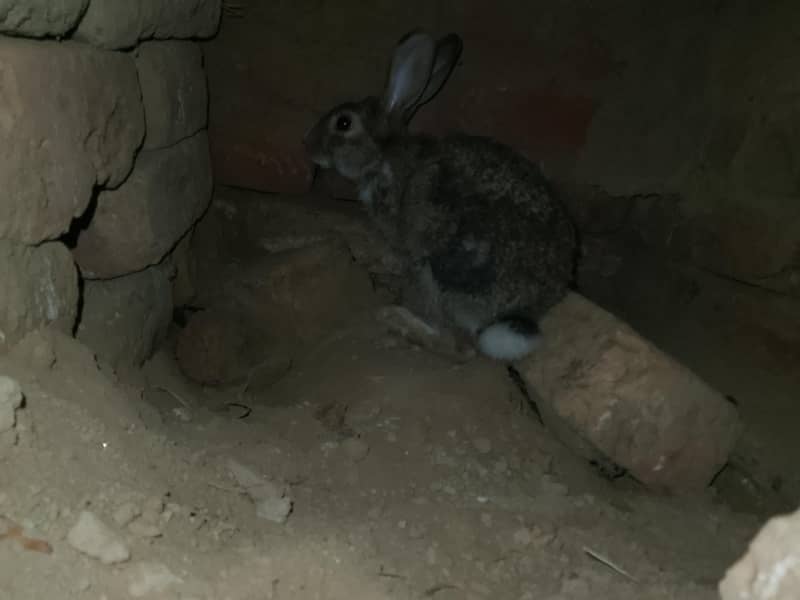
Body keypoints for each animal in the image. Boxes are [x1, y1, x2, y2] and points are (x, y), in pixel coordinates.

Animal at [303, 30, 577, 362]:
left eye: (344, 122)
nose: (307, 145)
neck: (383, 153)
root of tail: (522, 309)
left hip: (433, 270)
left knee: (461, 346)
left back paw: (396, 319)